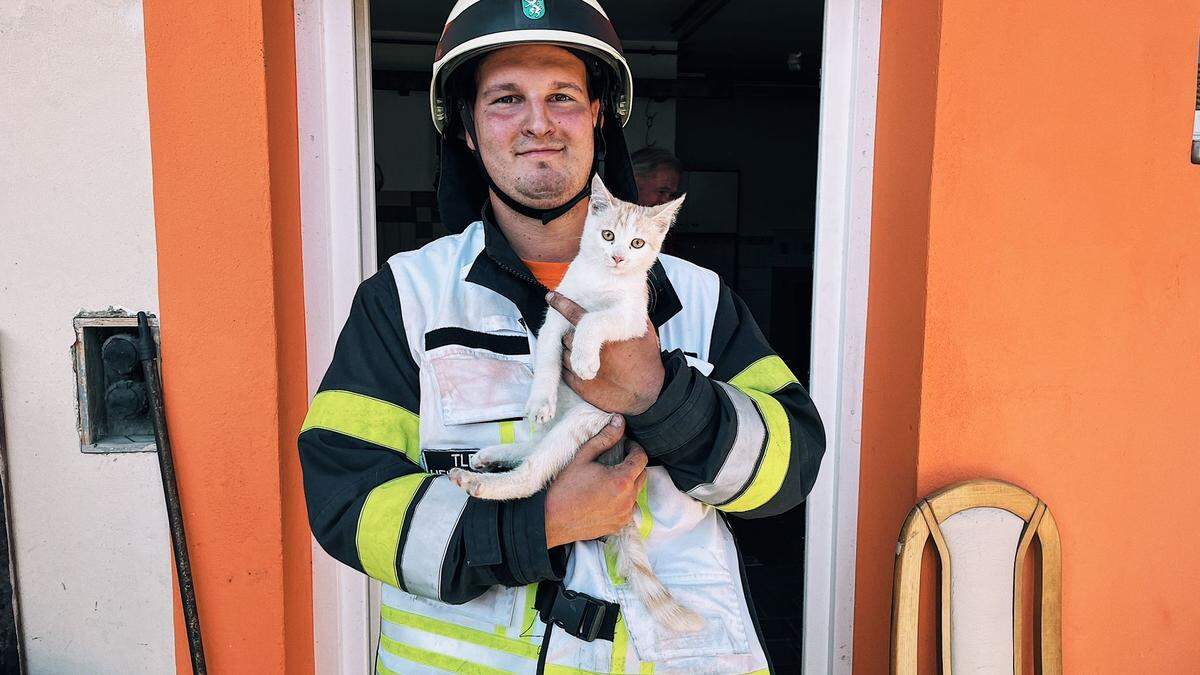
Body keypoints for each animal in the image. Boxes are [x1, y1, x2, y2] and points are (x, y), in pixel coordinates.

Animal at [451, 172, 700, 629]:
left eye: (637, 243)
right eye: (608, 235)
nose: (618, 257)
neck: (602, 282)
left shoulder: (632, 320)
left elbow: (596, 321)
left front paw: (584, 358)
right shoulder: (555, 316)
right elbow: (549, 354)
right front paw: (542, 393)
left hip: (584, 420)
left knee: (535, 472)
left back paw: (483, 478)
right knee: (535, 454)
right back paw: (494, 455)